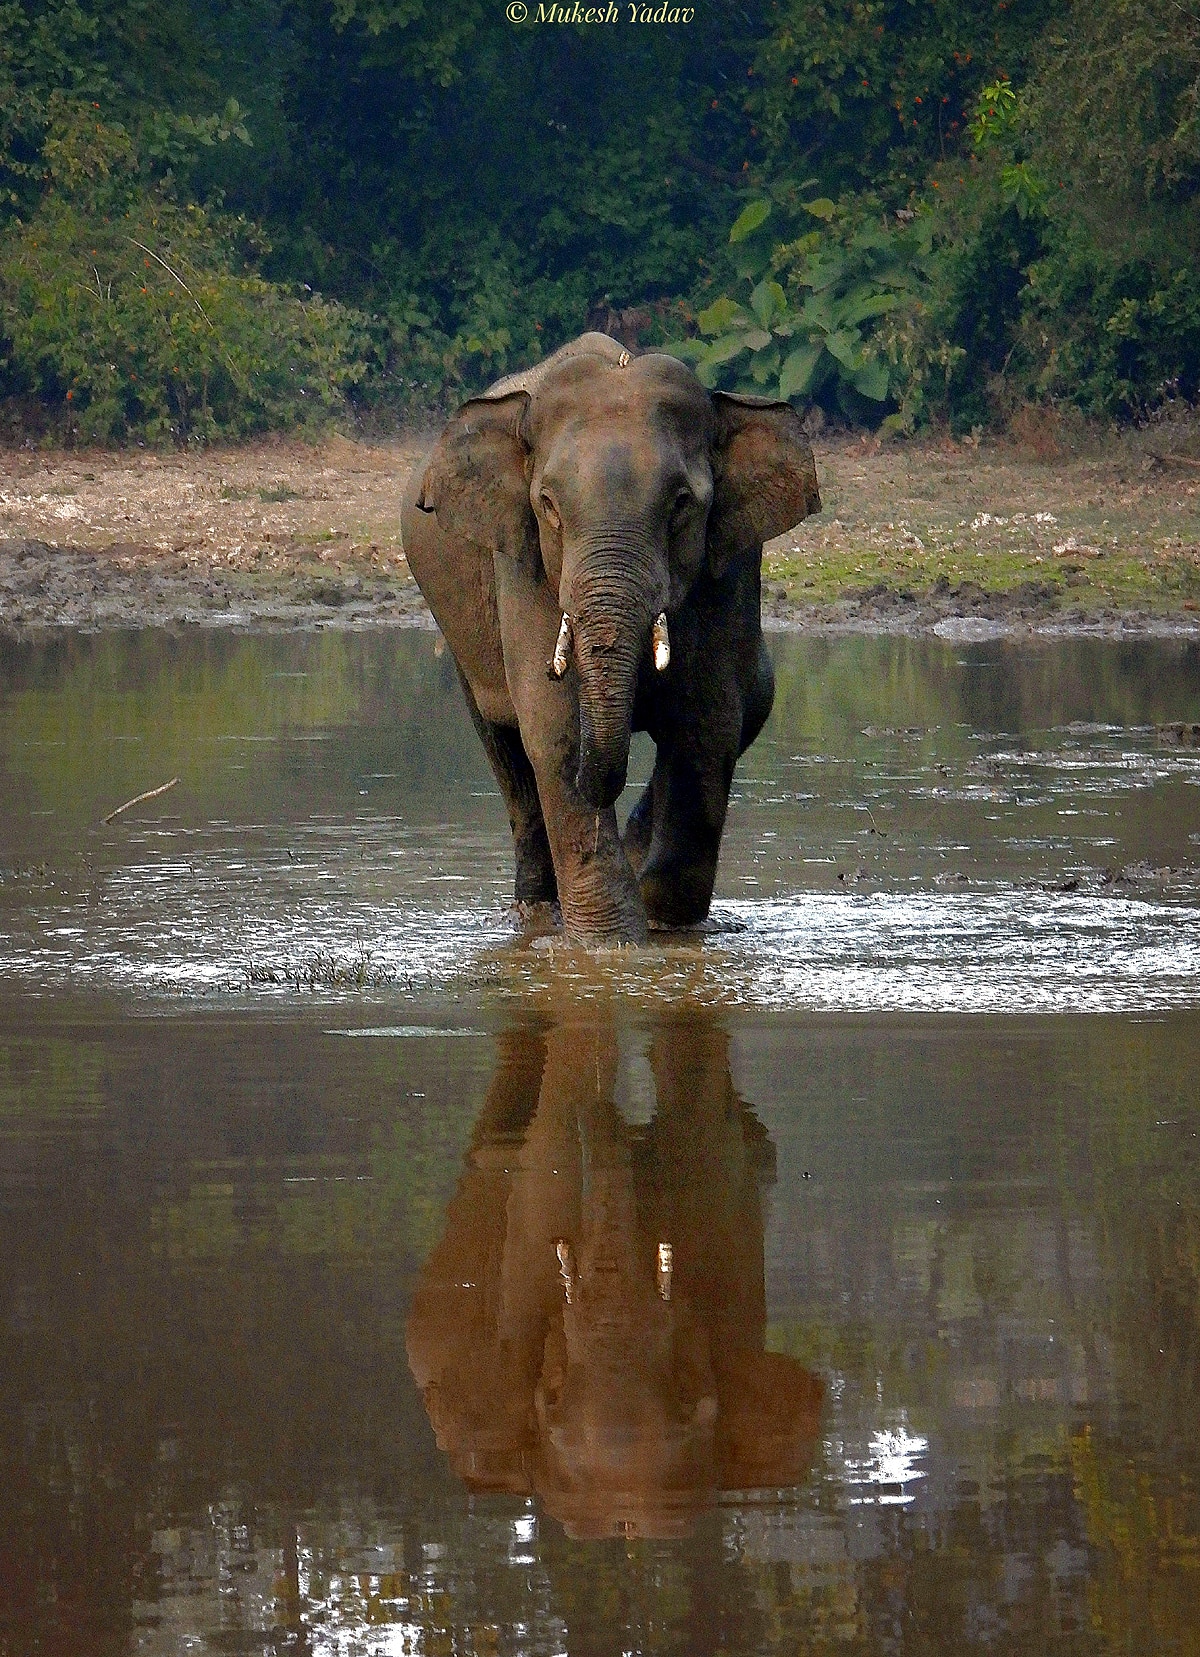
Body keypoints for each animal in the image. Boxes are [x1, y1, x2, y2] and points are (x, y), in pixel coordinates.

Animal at [401, 332, 821, 943]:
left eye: (681, 504)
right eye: (548, 504)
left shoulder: (732, 569)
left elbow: (706, 727)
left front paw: (665, 926)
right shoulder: (523, 564)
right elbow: (554, 727)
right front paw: (608, 946)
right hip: (459, 632)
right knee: (505, 750)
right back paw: (537, 914)